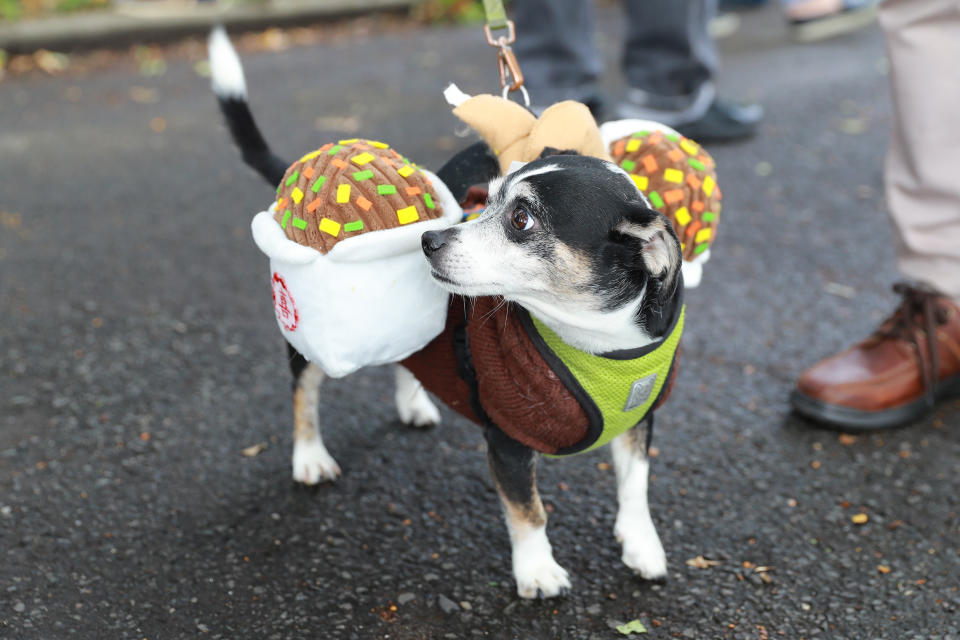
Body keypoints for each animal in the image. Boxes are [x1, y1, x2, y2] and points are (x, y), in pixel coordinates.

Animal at [208, 28, 684, 600]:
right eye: (489, 197)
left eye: (521, 219)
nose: (428, 239)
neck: (590, 338)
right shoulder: (507, 438)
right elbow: (529, 511)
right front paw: (537, 571)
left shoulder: (641, 421)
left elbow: (635, 486)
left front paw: (642, 547)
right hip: (308, 336)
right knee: (304, 391)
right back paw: (309, 458)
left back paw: (414, 403)